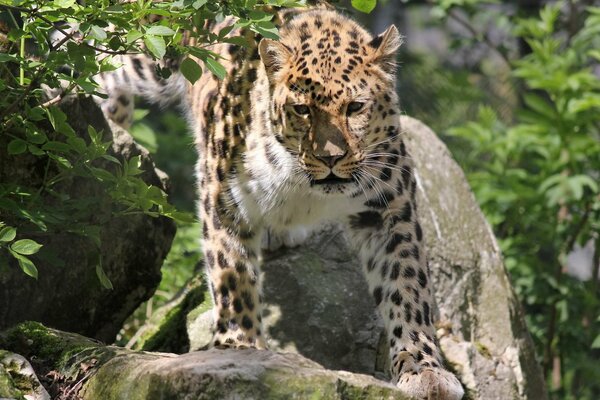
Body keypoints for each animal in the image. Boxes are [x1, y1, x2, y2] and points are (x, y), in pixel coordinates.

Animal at [91, 6, 464, 400]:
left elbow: (407, 286)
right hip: (151, 53)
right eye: (302, 109)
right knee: (103, 57)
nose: (330, 158)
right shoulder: (223, 196)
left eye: (355, 107)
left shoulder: (391, 206)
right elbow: (232, 275)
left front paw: (424, 369)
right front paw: (239, 349)